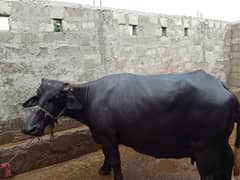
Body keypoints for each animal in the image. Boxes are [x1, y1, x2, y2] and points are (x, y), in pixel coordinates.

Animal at [21, 70, 240, 180]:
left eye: (55, 97)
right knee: (229, 160)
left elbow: (115, 160)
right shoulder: (103, 136)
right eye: (38, 96)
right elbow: (105, 155)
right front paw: (103, 169)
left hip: (205, 149)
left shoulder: (108, 137)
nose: (29, 128)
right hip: (220, 143)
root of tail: (222, 86)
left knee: (209, 174)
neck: (90, 98)